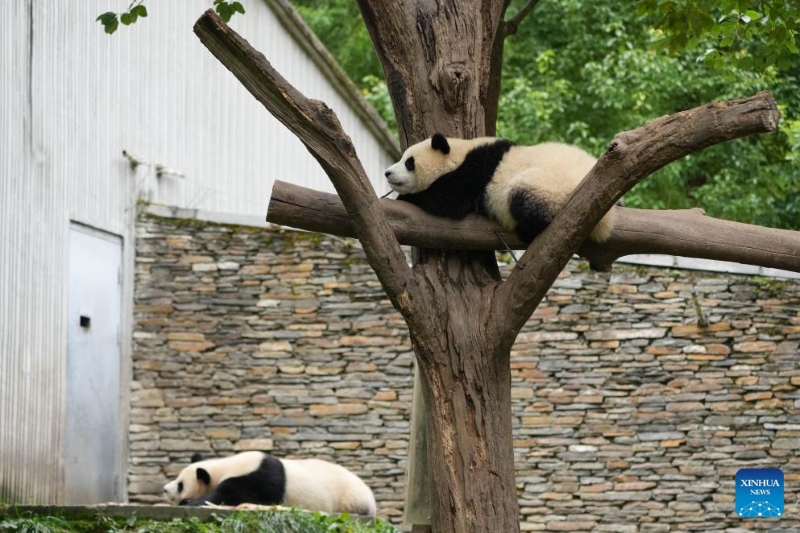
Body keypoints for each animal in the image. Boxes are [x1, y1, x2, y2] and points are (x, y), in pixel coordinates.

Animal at [163, 451, 377, 516]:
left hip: (350, 499)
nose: (165, 489)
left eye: (180, 484)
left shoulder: (257, 479)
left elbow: (231, 495)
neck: (223, 466)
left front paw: (191, 502)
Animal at [384, 133, 616, 243]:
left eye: (409, 162)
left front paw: (405, 198)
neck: (459, 153)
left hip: (550, 187)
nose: (387, 172)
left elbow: (448, 200)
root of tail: (605, 220)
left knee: (524, 200)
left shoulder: (474, 172)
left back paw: (528, 230)